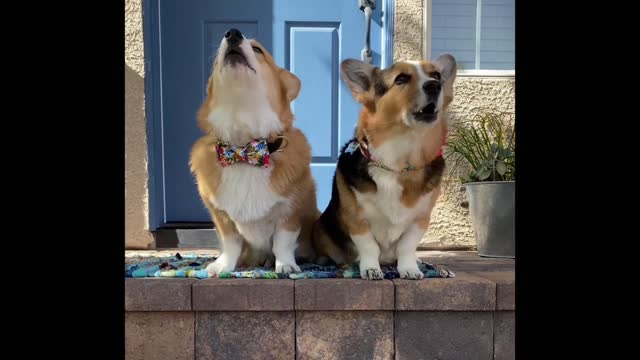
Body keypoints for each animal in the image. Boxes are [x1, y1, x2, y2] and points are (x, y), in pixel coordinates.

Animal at [190, 28, 320, 276]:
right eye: (216, 60)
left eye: (258, 49)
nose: (232, 33)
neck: (243, 149)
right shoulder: (221, 215)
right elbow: (230, 242)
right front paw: (223, 266)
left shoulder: (290, 211)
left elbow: (283, 242)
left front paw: (285, 265)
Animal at [312, 54, 458, 280]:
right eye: (401, 79)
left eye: (436, 75)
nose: (435, 85)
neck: (399, 163)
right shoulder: (357, 218)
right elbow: (369, 247)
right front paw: (371, 269)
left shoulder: (420, 219)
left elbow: (407, 247)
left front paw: (409, 269)